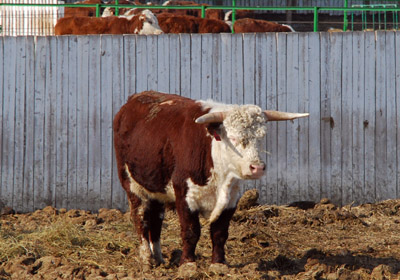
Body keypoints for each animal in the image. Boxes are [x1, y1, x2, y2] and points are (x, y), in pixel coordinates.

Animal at [112, 91, 310, 274]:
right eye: (233, 137)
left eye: (261, 137)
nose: (257, 167)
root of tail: (135, 99)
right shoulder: (184, 194)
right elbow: (191, 231)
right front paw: (188, 264)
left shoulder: (231, 198)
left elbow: (220, 232)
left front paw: (218, 264)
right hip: (132, 186)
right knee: (140, 220)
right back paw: (146, 259)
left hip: (156, 188)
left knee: (156, 221)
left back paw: (159, 258)